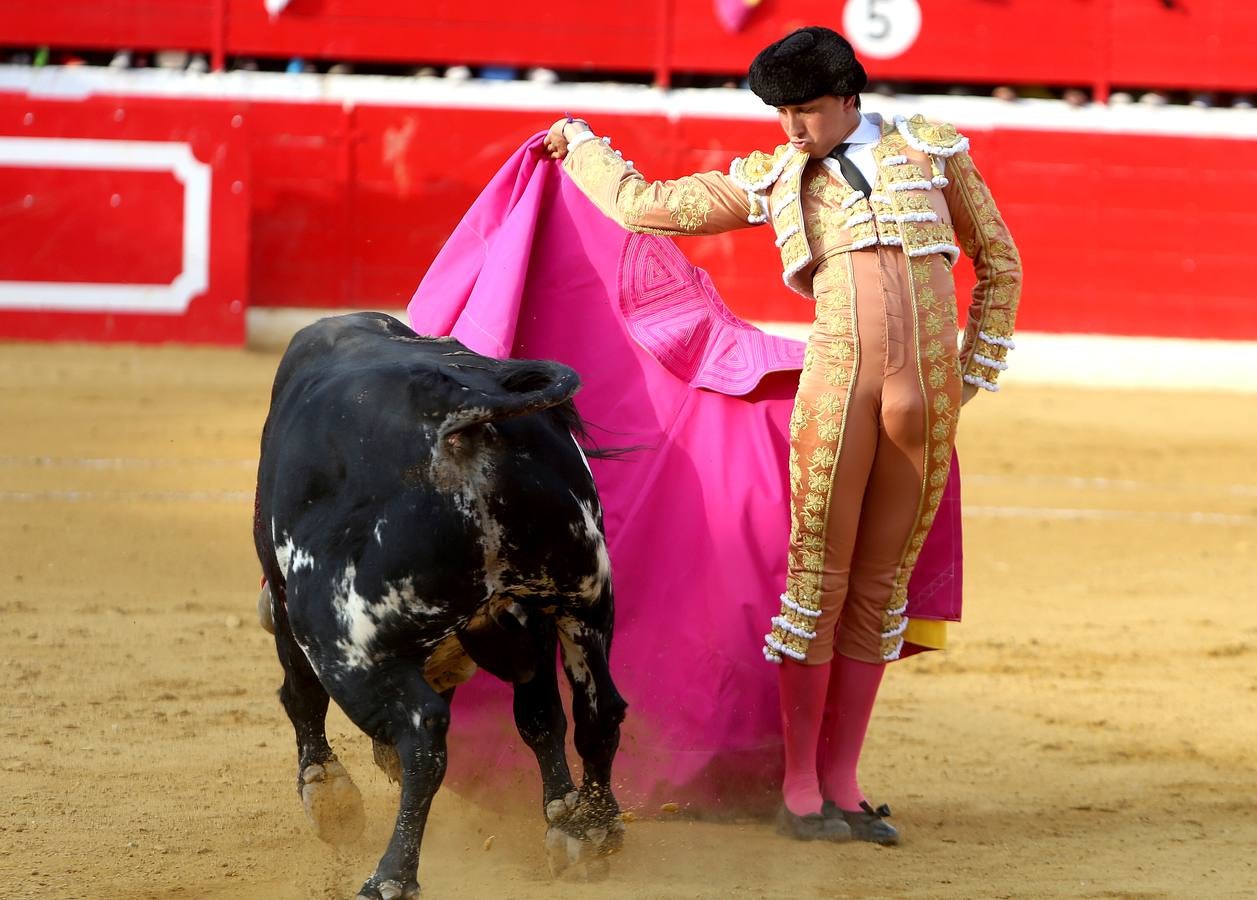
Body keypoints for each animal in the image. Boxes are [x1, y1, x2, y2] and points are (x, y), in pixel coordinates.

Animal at [252, 312, 628, 894]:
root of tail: (458, 410)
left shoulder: (290, 596)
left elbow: (300, 694)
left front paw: (329, 799)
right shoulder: (518, 618)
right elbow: (540, 714)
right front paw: (565, 818)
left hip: (343, 641)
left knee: (423, 735)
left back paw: (391, 877)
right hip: (585, 597)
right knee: (599, 709)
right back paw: (594, 827)